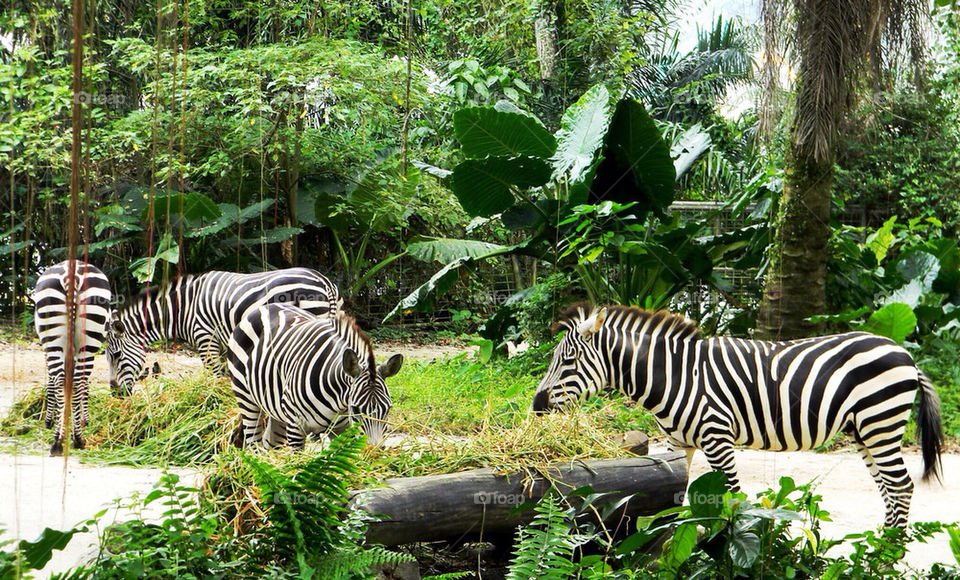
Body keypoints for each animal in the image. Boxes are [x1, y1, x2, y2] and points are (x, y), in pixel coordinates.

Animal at [31, 260, 112, 455]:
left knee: (65, 381)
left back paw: (68, 440)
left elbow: (51, 383)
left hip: (56, 338)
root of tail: (72, 274)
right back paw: (68, 439)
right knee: (75, 381)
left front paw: (50, 420)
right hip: (86, 339)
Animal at [105, 268, 342, 395]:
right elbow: (224, 373)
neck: (183, 309)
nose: (116, 394)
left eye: (116, 355)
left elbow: (214, 372)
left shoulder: (205, 335)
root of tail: (325, 282)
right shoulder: (219, 340)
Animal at [227, 303, 402, 448]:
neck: (338, 401)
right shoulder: (296, 427)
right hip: (245, 397)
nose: (373, 450)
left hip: (276, 408)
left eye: (388, 408)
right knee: (253, 443)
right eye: (356, 409)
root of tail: (265, 307)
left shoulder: (342, 429)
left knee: (270, 443)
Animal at [531, 304, 943, 528]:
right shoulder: (679, 443)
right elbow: (676, 501)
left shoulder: (717, 438)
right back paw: (877, 548)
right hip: (863, 430)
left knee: (901, 486)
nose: (535, 406)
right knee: (888, 488)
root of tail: (904, 353)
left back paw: (889, 554)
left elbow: (729, 498)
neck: (676, 375)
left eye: (568, 361)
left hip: (880, 422)